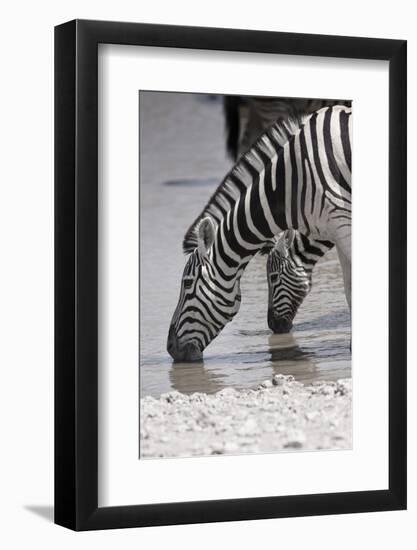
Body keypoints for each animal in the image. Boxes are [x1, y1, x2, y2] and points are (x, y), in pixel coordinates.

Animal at [166, 105, 352, 364]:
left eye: (187, 283)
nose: (170, 348)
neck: (293, 185)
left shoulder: (342, 219)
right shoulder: (339, 227)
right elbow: (349, 287)